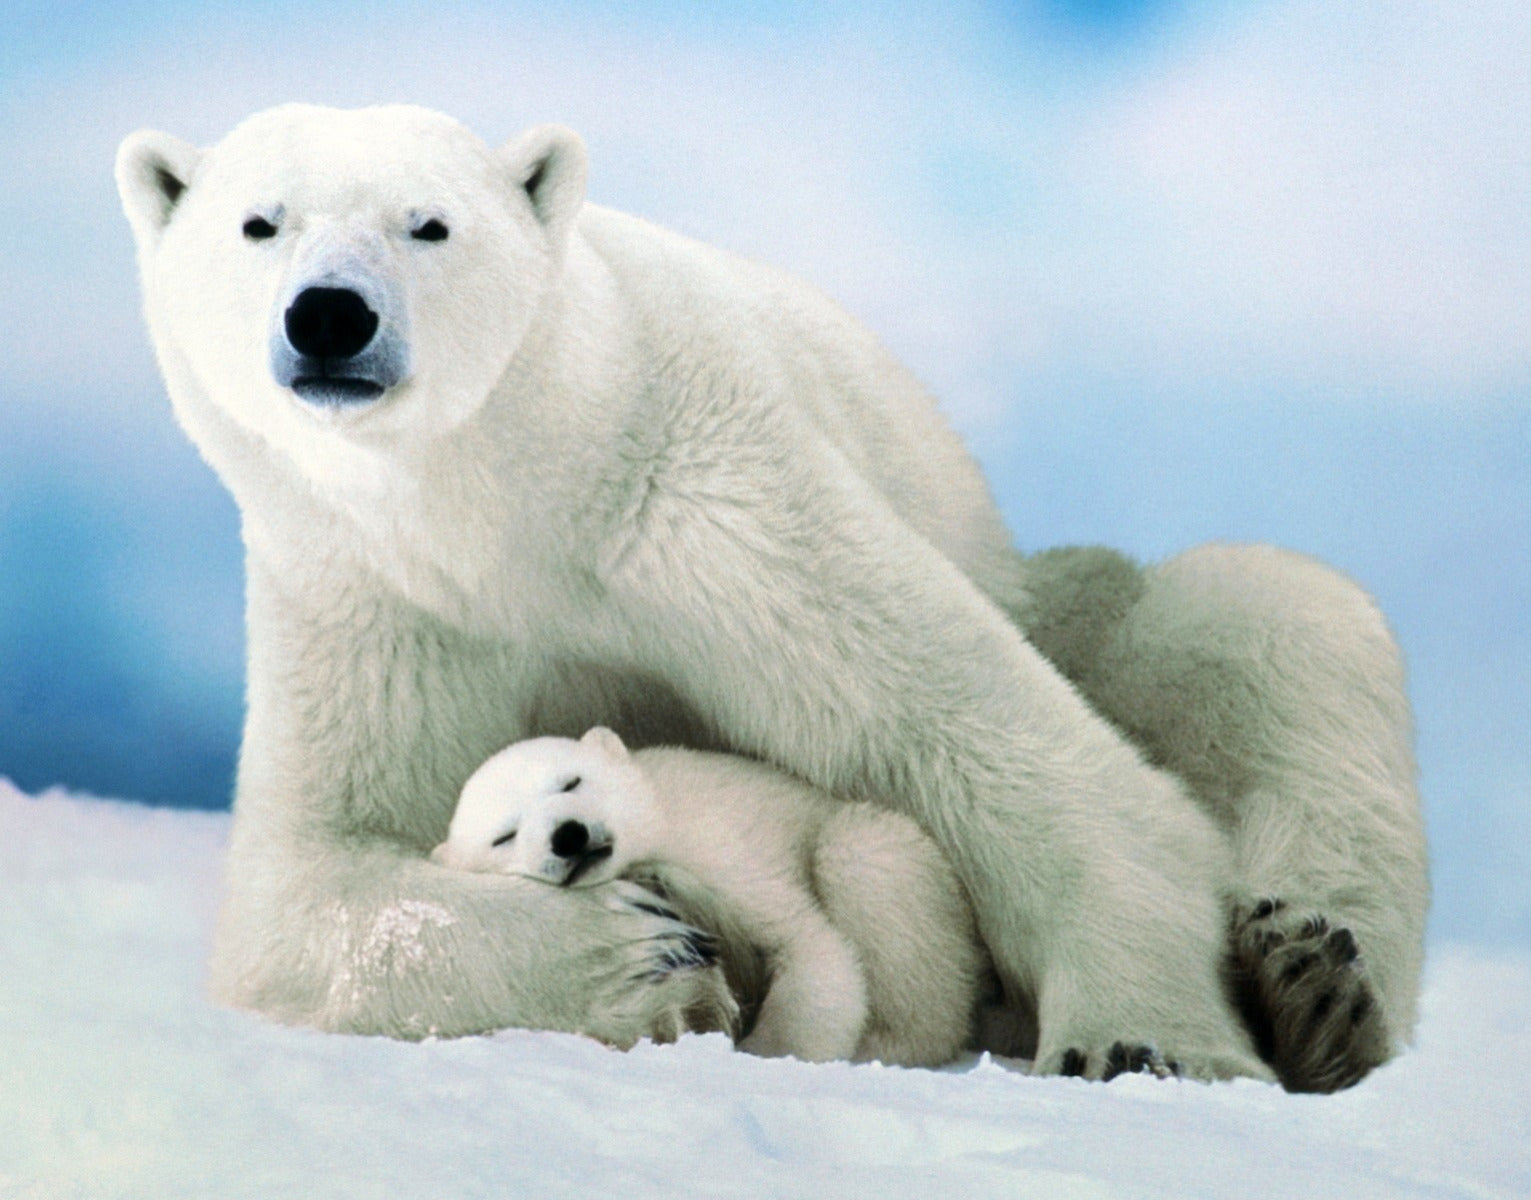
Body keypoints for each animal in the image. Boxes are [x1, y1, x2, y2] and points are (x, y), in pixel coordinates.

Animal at [431, 727, 990, 1068]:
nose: (568, 835)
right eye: (504, 836)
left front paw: (768, 1052)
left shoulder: (721, 849)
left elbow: (808, 946)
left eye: (571, 780)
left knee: (863, 852)